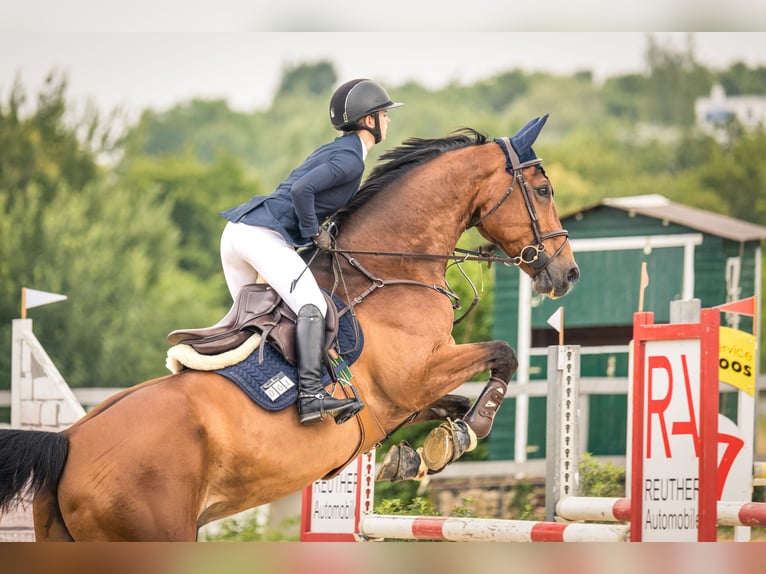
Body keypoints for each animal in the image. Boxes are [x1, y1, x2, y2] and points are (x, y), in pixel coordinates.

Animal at [0, 116, 580, 540]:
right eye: (544, 189)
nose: (567, 273)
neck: (394, 271)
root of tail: (68, 443)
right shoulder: (415, 375)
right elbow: (503, 353)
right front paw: (463, 433)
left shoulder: (406, 398)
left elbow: (450, 404)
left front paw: (420, 454)